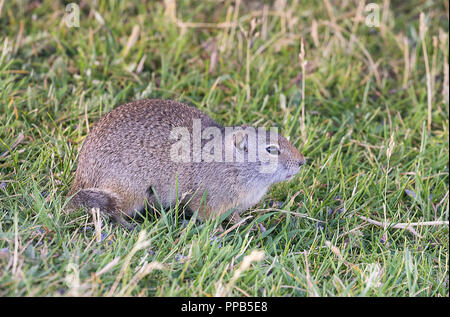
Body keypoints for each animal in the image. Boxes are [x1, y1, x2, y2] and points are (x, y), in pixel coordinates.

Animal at [67, 99, 306, 227]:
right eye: (271, 149)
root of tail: (81, 178)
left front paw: (246, 224)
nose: (302, 162)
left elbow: (235, 215)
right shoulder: (205, 199)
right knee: (112, 212)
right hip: (129, 193)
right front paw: (219, 234)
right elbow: (208, 218)